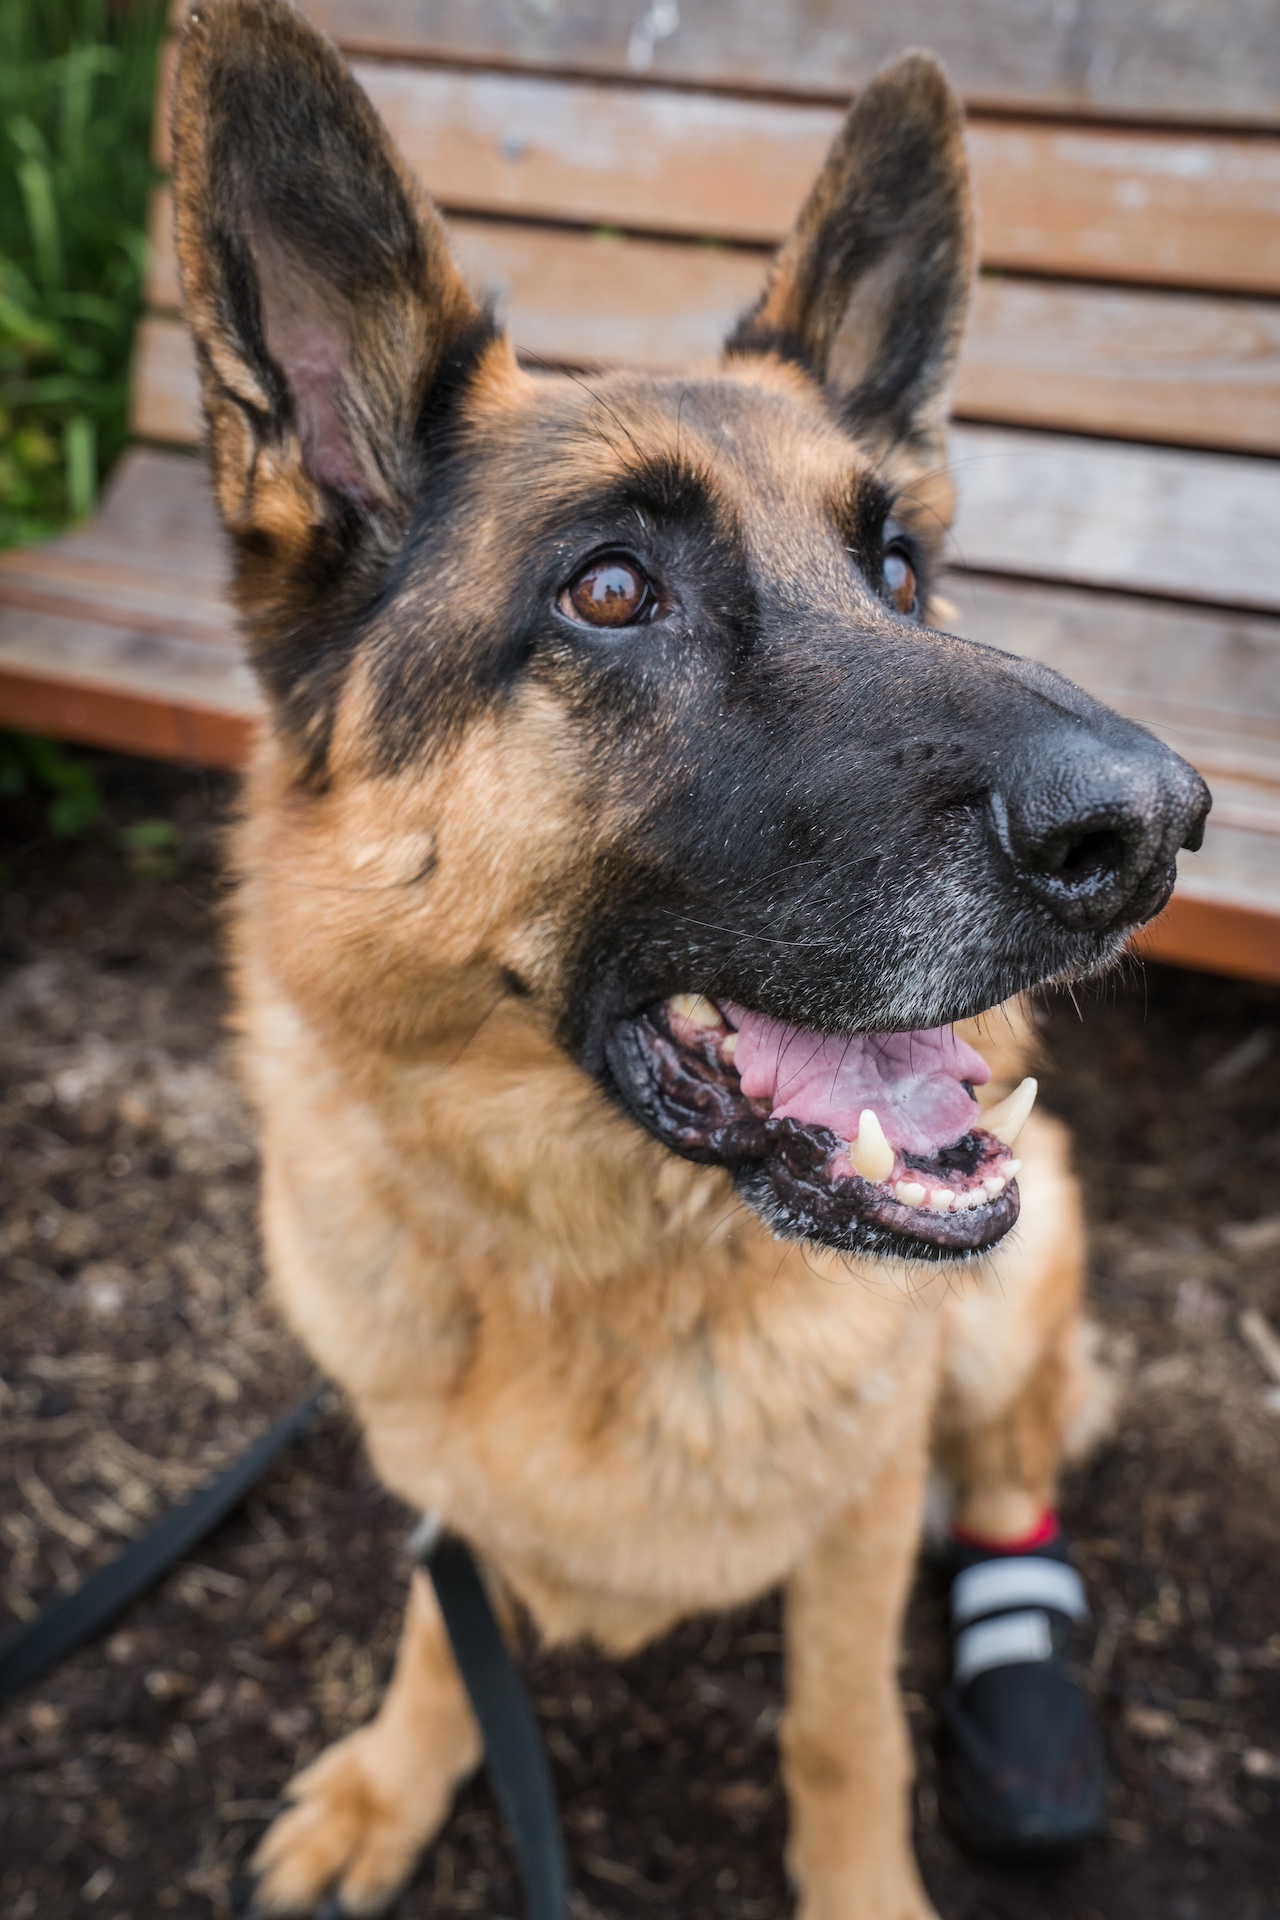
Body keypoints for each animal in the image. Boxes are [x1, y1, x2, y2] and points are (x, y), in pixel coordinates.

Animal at [169, 7, 1212, 1912]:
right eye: (608, 591)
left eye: (900, 569)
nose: (1159, 829)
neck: (599, 1256)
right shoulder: (441, 1478)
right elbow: (443, 1629)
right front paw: (397, 1780)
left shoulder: (860, 1512)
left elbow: (843, 1728)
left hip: (1019, 1291)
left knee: (1009, 1456)